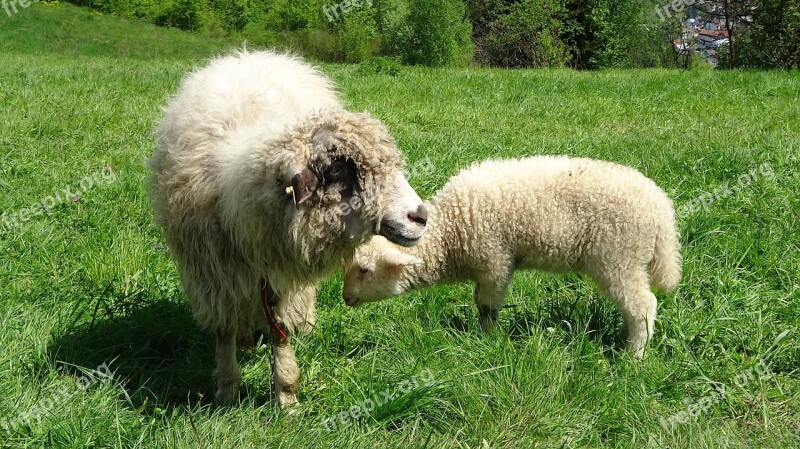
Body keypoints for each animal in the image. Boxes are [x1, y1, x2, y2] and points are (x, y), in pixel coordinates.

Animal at [147, 51, 428, 406]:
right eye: (340, 170)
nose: (421, 216)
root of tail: (250, 53)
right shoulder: (213, 275)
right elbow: (224, 330)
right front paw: (227, 389)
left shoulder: (280, 277)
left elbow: (280, 334)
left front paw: (287, 398)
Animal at [342, 156, 680, 356]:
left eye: (364, 270)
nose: (345, 298)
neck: (452, 231)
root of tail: (661, 208)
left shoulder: (494, 260)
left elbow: (487, 306)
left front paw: (490, 339)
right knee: (632, 305)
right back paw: (626, 339)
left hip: (619, 256)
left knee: (643, 304)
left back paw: (633, 355)